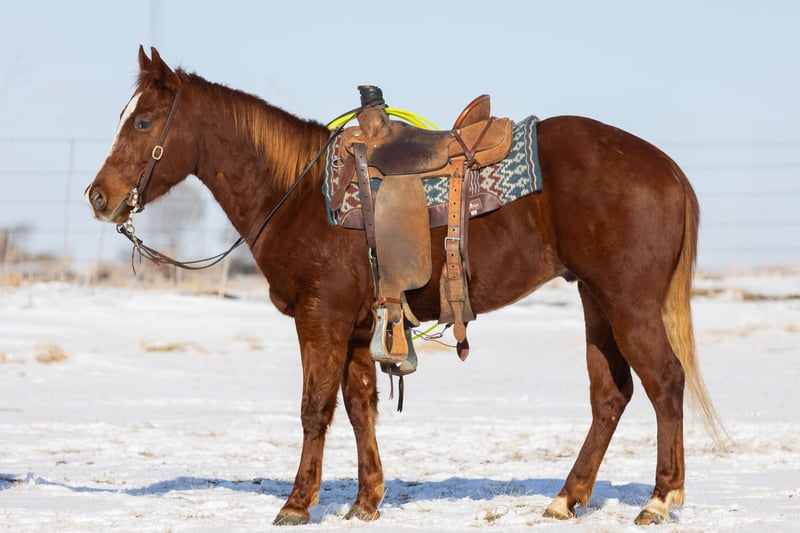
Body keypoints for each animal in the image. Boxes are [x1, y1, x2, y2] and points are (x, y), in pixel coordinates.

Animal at [85, 46, 726, 526]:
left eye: (143, 121)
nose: (99, 197)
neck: (300, 193)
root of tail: (666, 168)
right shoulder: (355, 327)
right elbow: (359, 406)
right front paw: (367, 501)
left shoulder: (319, 319)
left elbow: (314, 408)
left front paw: (297, 504)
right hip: (596, 300)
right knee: (610, 395)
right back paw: (567, 499)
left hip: (629, 302)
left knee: (665, 382)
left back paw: (659, 499)